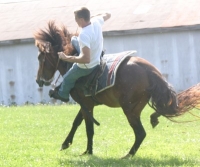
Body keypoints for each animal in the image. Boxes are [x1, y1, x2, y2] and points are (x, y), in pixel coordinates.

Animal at [33, 20, 200, 158]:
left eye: (41, 58)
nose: (38, 80)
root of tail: (149, 71)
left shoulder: (86, 104)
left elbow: (88, 128)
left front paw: (88, 152)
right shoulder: (86, 105)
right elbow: (77, 122)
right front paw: (67, 144)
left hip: (129, 109)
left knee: (140, 133)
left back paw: (127, 156)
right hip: (136, 107)